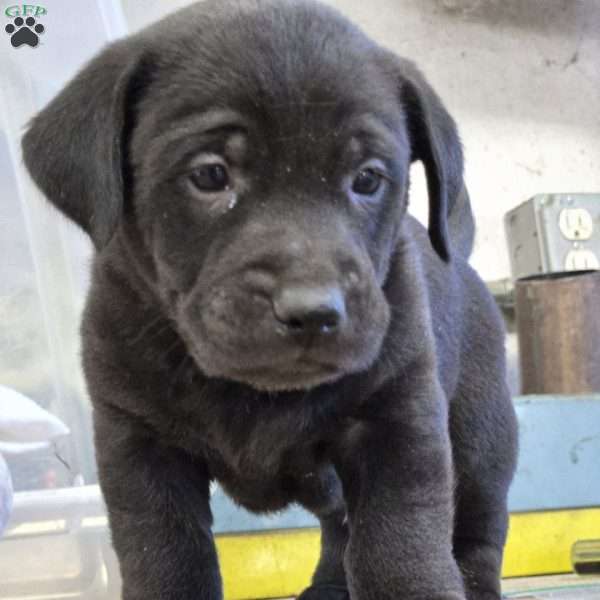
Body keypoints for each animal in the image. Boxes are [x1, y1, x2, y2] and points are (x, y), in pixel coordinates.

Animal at [21, 1, 516, 600]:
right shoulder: (139, 445)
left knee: (477, 531)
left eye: (367, 179)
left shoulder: (398, 423)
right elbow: (164, 556)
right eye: (210, 174)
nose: (314, 311)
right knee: (339, 529)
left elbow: (403, 547)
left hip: (481, 442)